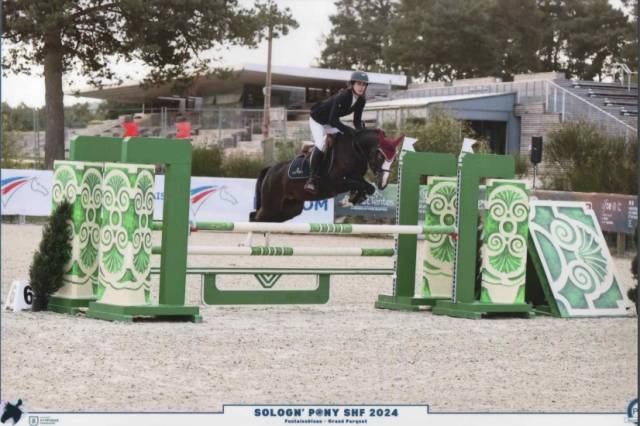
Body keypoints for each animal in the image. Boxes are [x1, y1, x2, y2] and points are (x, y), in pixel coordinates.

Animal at [250, 128, 404, 223]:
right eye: (380, 156)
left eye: (394, 159)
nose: (383, 184)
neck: (355, 149)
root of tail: (270, 170)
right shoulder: (336, 183)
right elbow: (360, 185)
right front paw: (349, 200)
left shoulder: (356, 178)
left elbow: (368, 188)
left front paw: (352, 199)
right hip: (271, 205)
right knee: (255, 218)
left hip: (290, 208)